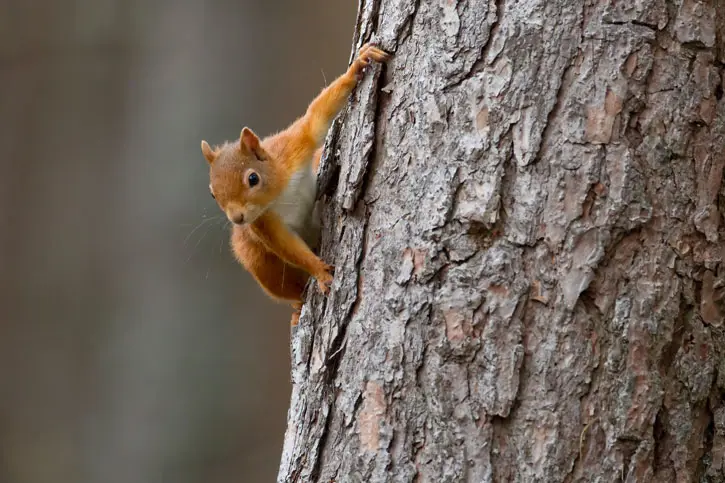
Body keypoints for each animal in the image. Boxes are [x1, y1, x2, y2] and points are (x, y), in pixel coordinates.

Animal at [200, 43, 391, 326]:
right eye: (213, 194)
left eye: (253, 178)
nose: (237, 219)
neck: (279, 192)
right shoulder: (263, 224)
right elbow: (287, 246)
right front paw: (320, 271)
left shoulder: (294, 146)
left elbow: (316, 118)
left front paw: (358, 65)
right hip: (260, 262)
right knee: (287, 286)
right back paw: (298, 307)